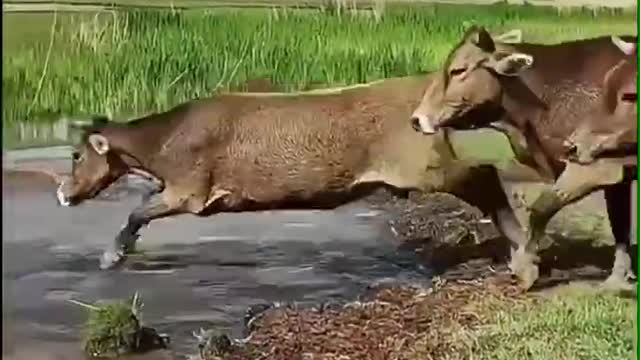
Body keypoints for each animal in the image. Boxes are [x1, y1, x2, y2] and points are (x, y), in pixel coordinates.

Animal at [56, 74, 528, 270]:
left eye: (76, 156)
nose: (62, 193)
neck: (162, 142)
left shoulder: (190, 191)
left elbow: (137, 211)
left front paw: (111, 256)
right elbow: (140, 205)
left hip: (424, 166)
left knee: (484, 174)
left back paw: (519, 241)